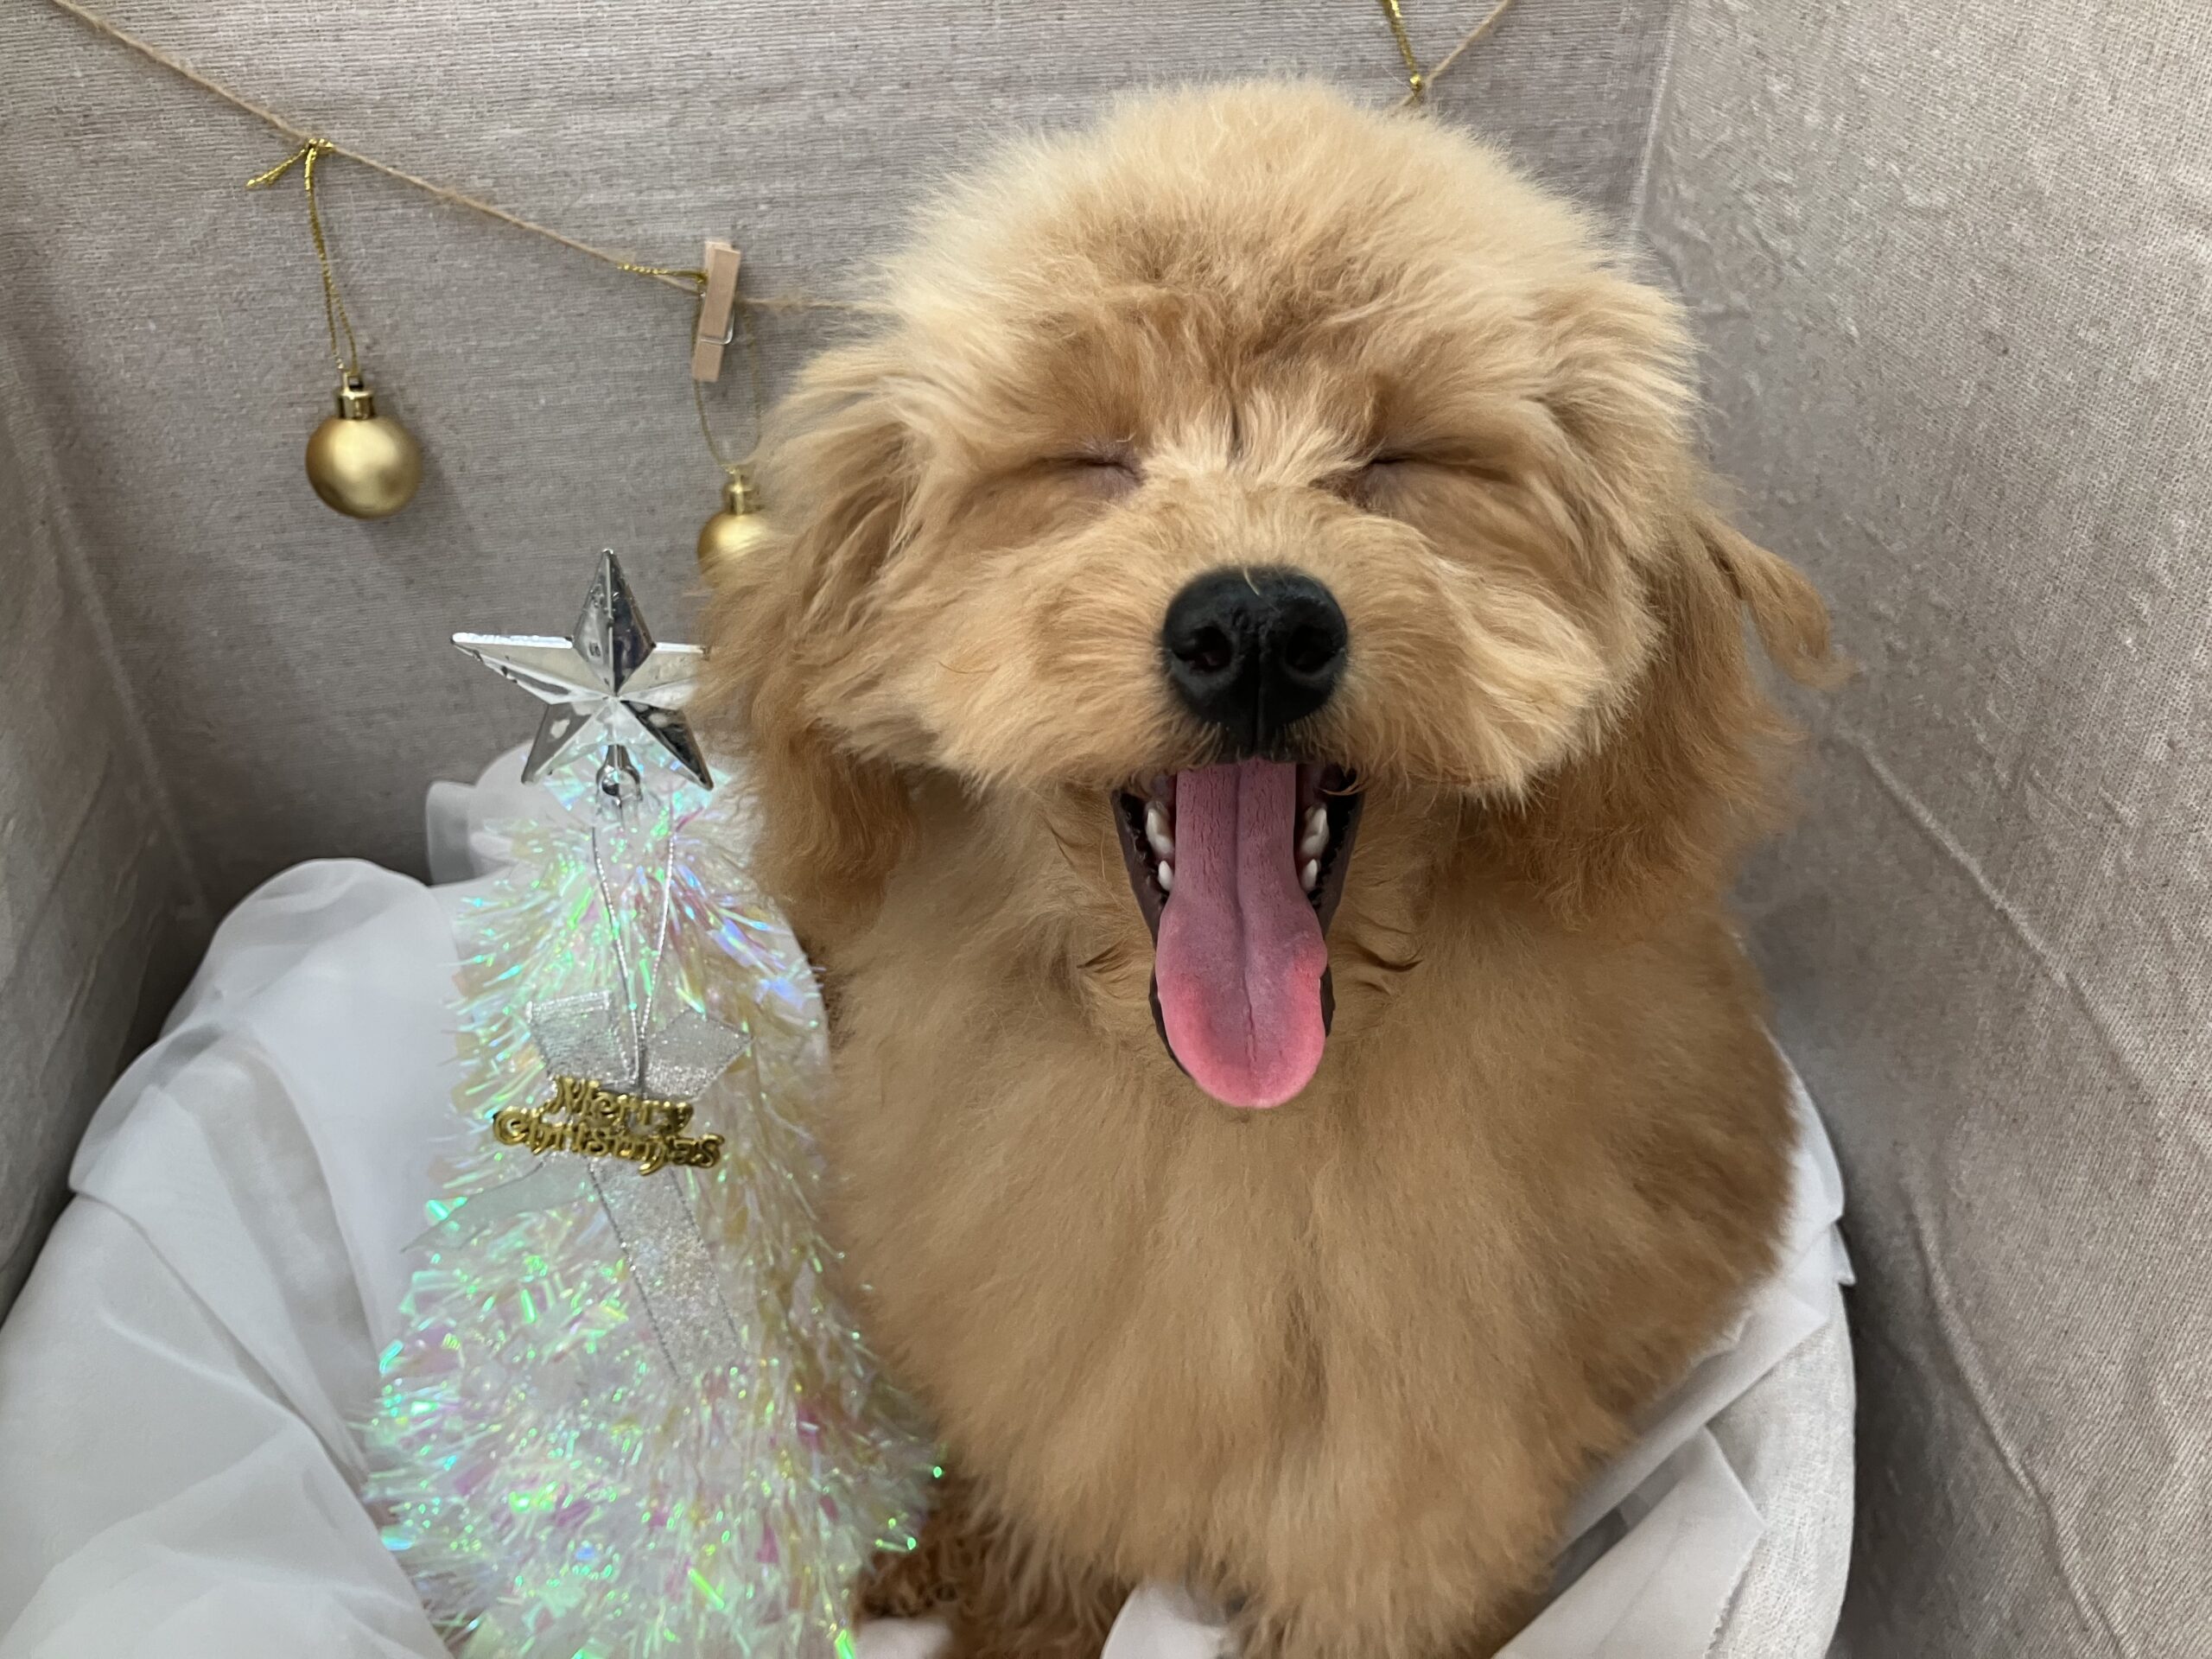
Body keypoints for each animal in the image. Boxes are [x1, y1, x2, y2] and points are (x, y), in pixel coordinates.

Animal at [701, 81, 1833, 1659]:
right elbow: (1030, 1544)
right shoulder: (1056, 1404)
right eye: (1088, 461)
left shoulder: (1398, 1525)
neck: (1234, 1124)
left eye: (1403, 461)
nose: (1253, 627)